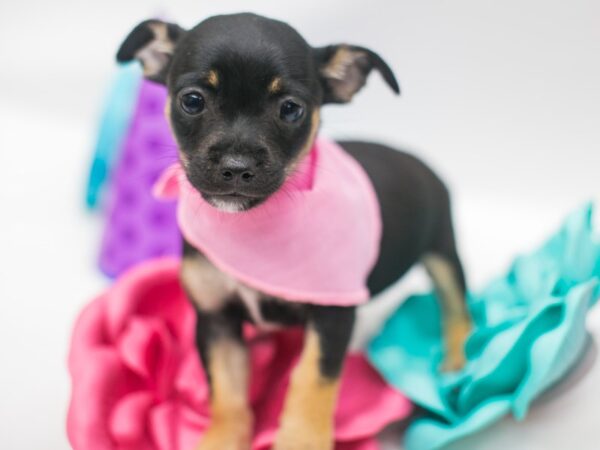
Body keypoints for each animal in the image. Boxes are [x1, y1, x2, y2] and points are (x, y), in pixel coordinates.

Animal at [118, 13, 474, 450]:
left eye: (291, 109)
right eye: (193, 100)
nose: (236, 167)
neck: (252, 228)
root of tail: (419, 161)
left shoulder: (332, 317)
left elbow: (311, 383)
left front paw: (300, 439)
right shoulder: (216, 320)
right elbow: (228, 393)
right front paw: (222, 439)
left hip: (443, 249)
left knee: (457, 306)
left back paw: (456, 362)